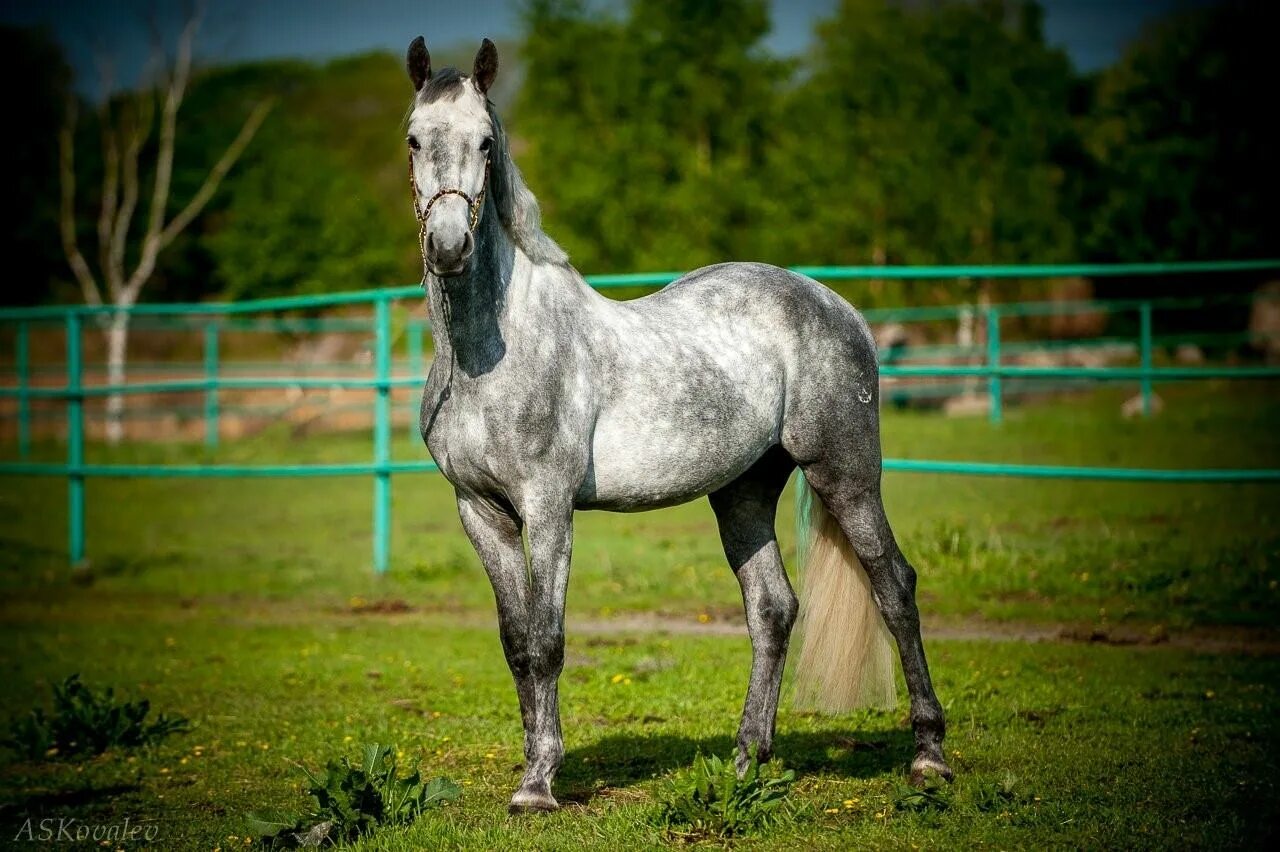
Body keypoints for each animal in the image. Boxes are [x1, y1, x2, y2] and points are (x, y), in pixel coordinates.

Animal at [401, 38, 952, 808]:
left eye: (485, 142)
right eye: (414, 139)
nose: (449, 246)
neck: (493, 351)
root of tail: (835, 305)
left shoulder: (547, 506)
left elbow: (546, 640)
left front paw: (539, 785)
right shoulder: (480, 511)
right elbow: (515, 644)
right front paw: (532, 768)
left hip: (845, 473)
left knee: (894, 586)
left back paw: (929, 756)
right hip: (743, 491)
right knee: (773, 608)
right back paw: (746, 761)